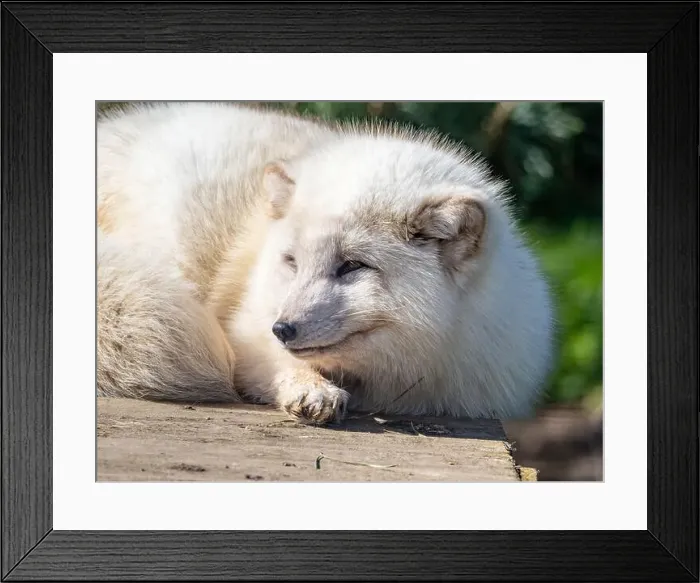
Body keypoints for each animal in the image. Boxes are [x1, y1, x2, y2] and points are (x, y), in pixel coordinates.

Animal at [97, 101, 555, 425]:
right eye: (291, 262)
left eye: (352, 266)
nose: (283, 328)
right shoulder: (244, 328)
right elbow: (267, 359)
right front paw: (311, 390)